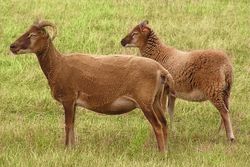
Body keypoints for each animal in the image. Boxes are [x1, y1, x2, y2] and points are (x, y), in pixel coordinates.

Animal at [9, 19, 174, 151]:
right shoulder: (73, 102)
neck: (58, 65)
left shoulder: (68, 98)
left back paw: (161, 152)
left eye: (32, 35)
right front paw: (73, 148)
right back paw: (166, 150)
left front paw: (67, 149)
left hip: (145, 102)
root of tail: (161, 71)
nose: (12, 46)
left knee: (158, 126)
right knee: (164, 124)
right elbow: (72, 125)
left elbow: (68, 125)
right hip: (156, 101)